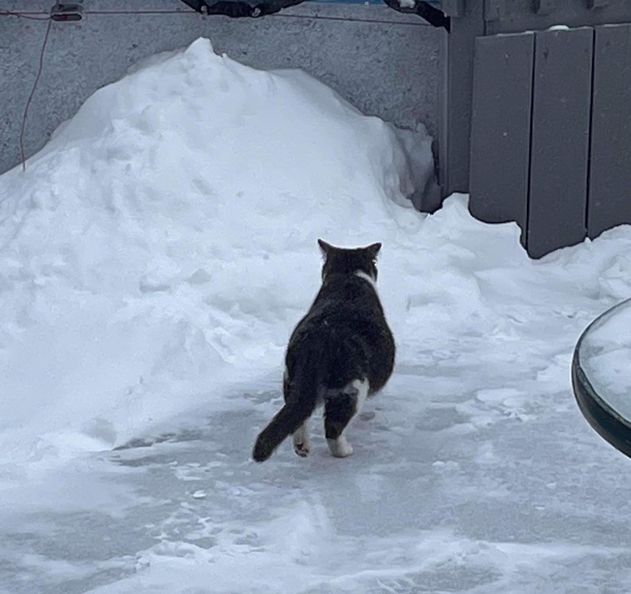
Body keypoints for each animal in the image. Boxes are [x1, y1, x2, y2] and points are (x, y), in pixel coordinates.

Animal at [252, 238, 396, 460]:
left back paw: (302, 447)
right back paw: (344, 450)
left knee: (299, 415)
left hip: (290, 378)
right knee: (333, 427)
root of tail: (319, 338)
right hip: (352, 386)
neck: (347, 275)